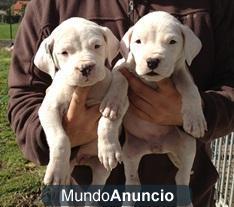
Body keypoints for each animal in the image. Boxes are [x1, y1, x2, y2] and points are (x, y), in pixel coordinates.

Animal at [33, 17, 128, 185]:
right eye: (64, 52)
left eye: (97, 46)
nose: (86, 67)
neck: (87, 88)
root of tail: (81, 159)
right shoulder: (49, 109)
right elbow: (60, 138)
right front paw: (56, 170)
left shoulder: (122, 104)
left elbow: (108, 122)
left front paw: (109, 149)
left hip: (100, 169)